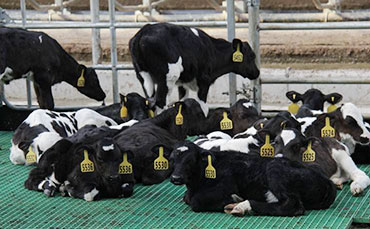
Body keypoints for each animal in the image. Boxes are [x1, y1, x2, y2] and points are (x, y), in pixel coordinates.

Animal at [130, 22, 260, 115]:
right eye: (252, 56)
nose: (257, 72)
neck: (212, 50)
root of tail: (144, 31)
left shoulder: (182, 83)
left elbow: (182, 101)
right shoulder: (204, 81)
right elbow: (204, 108)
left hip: (144, 77)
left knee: (149, 102)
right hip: (167, 78)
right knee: (160, 103)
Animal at [169, 141, 336, 216]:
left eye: (190, 160)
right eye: (171, 159)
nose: (176, 178)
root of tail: (328, 182)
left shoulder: (227, 185)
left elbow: (196, 202)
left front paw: (231, 199)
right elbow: (187, 198)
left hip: (274, 170)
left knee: (292, 206)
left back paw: (241, 205)